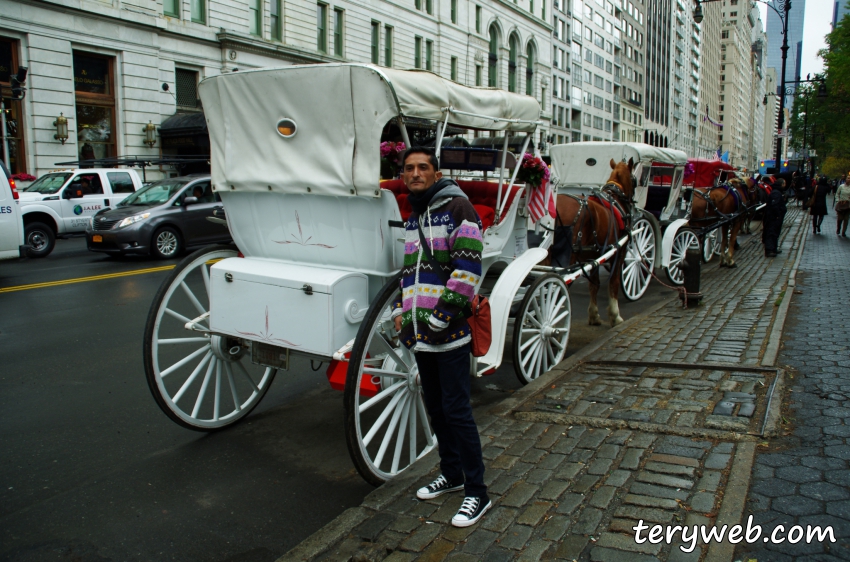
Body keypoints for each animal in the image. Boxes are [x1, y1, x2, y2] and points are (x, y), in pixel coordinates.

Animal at [548, 156, 632, 324]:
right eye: (634, 178)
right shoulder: (619, 252)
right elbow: (613, 283)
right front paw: (615, 315)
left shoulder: (593, 256)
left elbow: (594, 285)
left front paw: (594, 315)